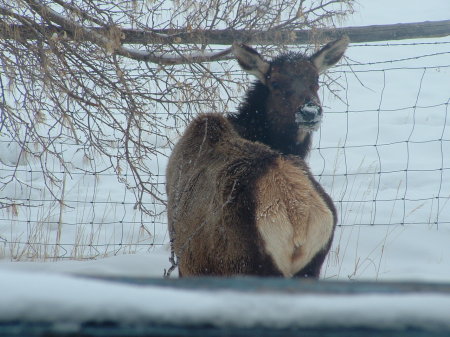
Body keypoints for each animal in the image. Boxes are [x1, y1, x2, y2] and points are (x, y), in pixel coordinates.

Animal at [167, 37, 350, 278]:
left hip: (247, 263)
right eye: (275, 83)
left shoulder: (186, 264)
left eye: (315, 79)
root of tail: (298, 216)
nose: (310, 111)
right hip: (310, 268)